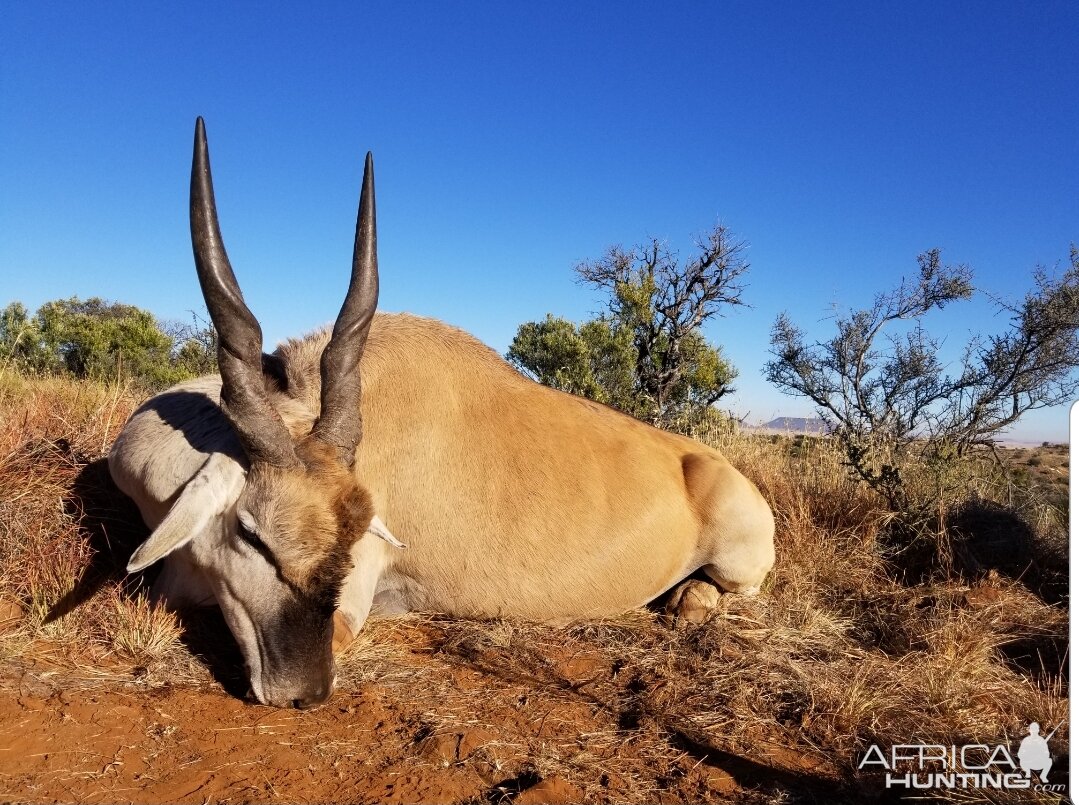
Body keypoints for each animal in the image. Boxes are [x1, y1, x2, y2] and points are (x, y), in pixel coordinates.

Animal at [107, 116, 776, 703]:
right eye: (249, 532)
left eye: (350, 538)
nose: (302, 692)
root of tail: (720, 470)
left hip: (739, 570)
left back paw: (686, 601)